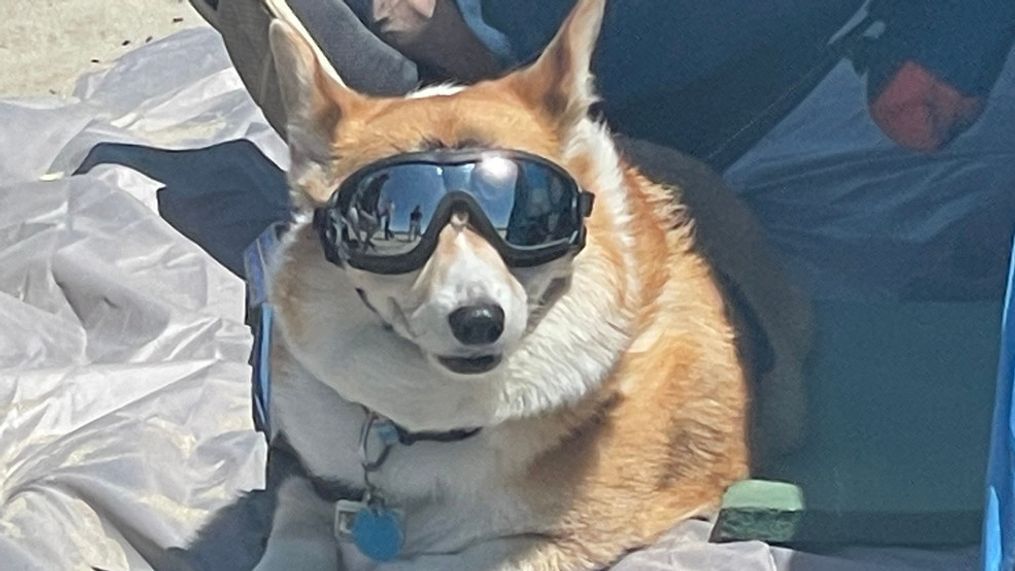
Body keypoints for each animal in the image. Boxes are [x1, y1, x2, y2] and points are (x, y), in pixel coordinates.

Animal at [253, 2, 807, 567]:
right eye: (395, 218)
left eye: (527, 217)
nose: (479, 321)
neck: (434, 426)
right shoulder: (304, 470)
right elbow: (296, 519)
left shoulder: (565, 540)